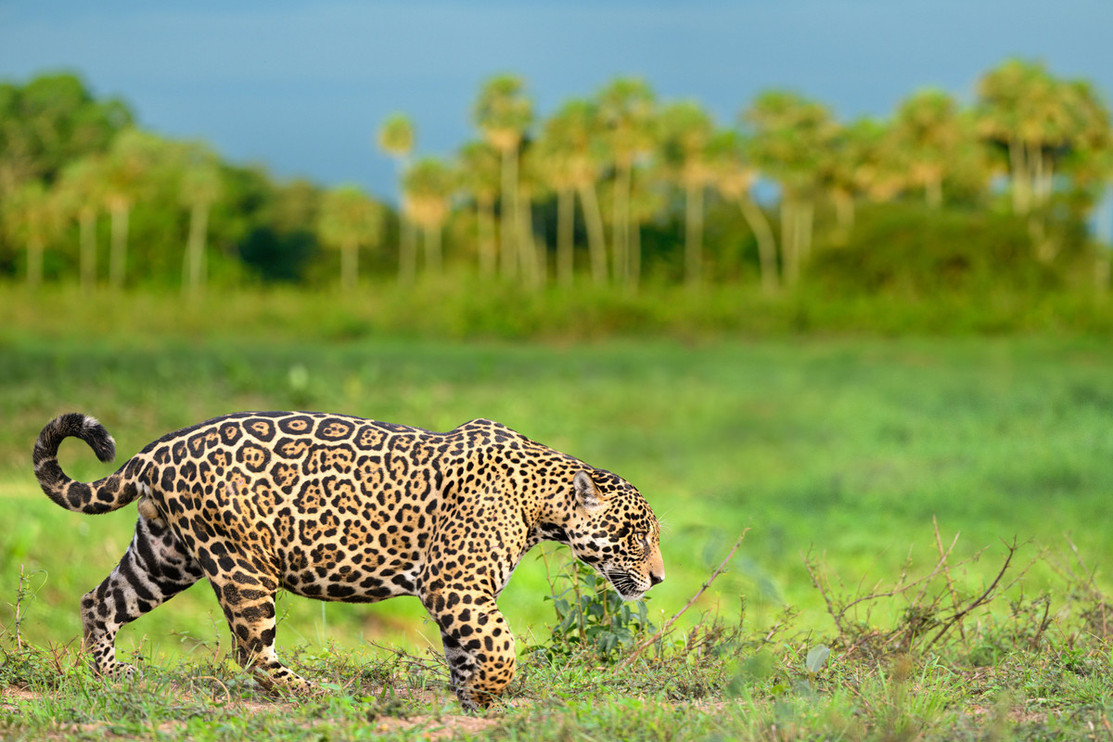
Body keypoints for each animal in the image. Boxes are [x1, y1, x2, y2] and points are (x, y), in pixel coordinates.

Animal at [32, 411, 665, 710]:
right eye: (637, 536)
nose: (659, 577)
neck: (543, 500)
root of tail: (152, 451)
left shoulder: (460, 595)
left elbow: (468, 648)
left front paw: (469, 694)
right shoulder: (455, 584)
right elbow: (500, 645)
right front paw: (488, 695)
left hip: (165, 554)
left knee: (100, 599)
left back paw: (110, 673)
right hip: (242, 565)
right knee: (251, 651)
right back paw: (312, 693)